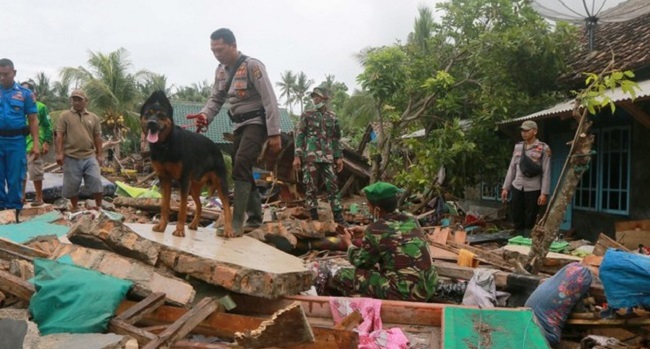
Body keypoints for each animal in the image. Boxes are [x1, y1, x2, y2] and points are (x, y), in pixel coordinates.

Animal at [139, 90, 233, 237]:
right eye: (148, 114)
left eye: (161, 116)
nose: (151, 123)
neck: (165, 145)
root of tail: (216, 148)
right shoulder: (164, 179)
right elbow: (164, 205)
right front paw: (162, 226)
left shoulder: (183, 180)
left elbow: (182, 208)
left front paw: (179, 230)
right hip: (193, 187)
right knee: (199, 205)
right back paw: (194, 224)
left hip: (220, 183)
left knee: (227, 207)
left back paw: (228, 230)